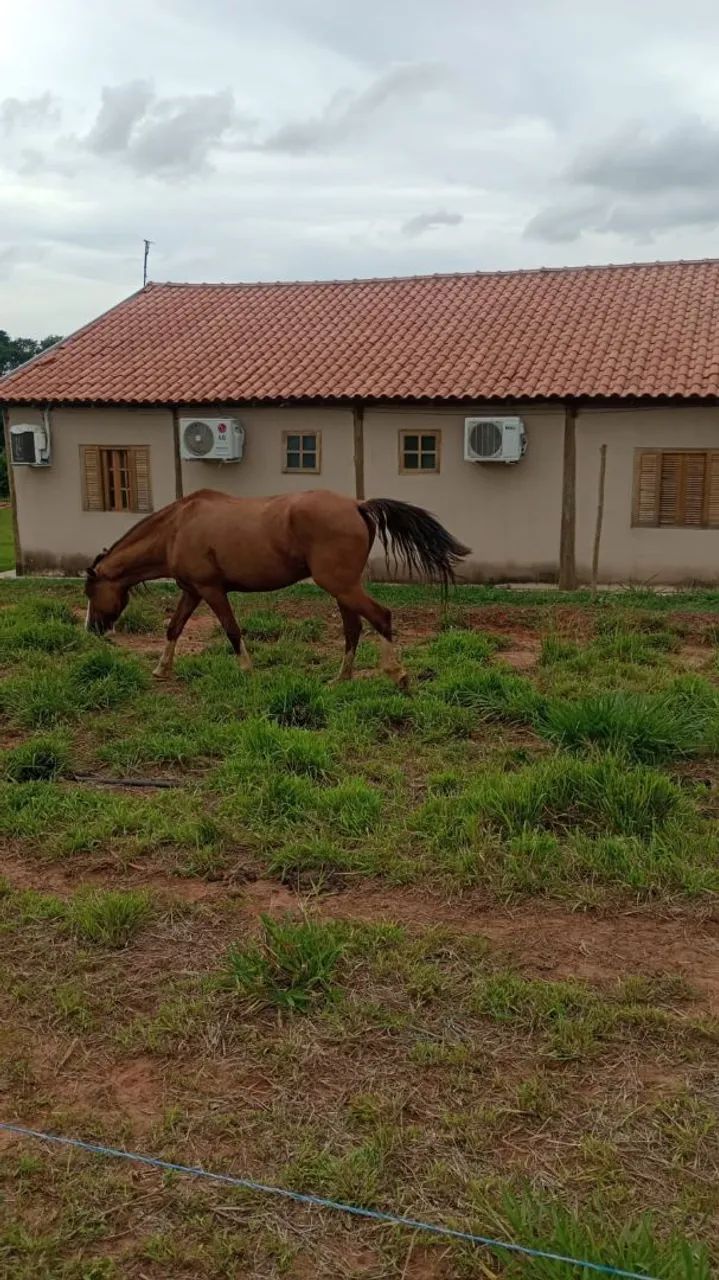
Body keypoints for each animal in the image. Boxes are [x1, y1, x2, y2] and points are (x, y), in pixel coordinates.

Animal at [84, 488, 470, 687]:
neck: (177, 528)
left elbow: (232, 630)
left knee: (381, 617)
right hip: (343, 587)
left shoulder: (211, 590)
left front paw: (246, 669)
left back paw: (397, 673)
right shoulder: (192, 591)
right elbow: (173, 627)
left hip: (340, 584)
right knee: (354, 628)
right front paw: (162, 669)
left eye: (90, 592)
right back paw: (340, 678)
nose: (92, 629)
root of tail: (358, 505)